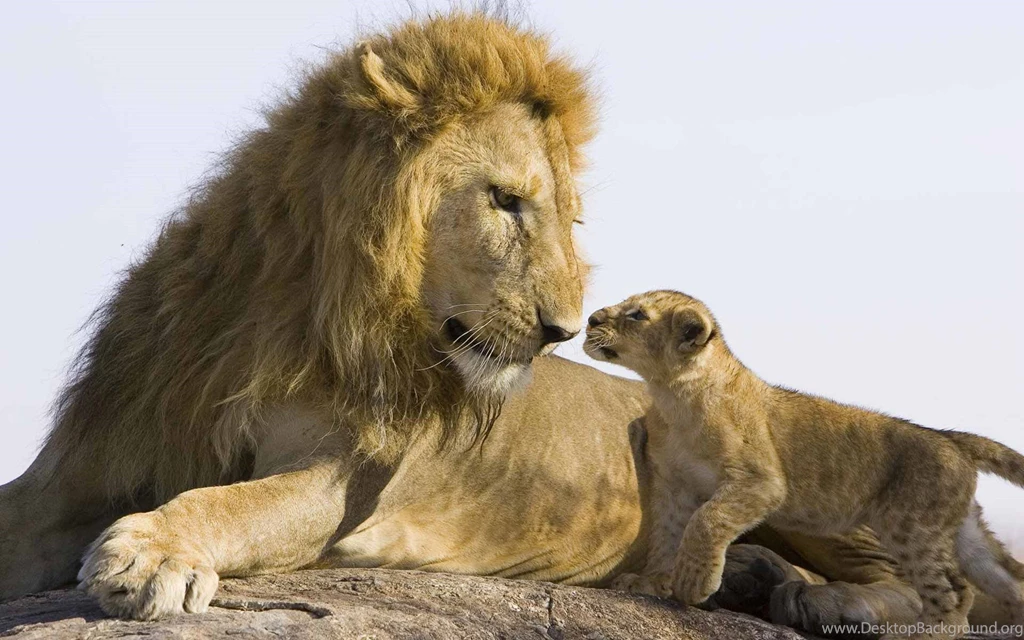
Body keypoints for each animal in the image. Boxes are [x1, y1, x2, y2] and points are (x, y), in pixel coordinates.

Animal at [0, 11, 1011, 633]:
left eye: (569, 217)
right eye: (505, 201)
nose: (566, 329)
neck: (288, 312)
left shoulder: (342, 480)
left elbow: (233, 502)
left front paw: (150, 551)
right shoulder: (85, 464)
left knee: (943, 589)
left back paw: (830, 602)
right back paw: (752, 581)